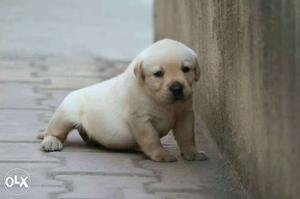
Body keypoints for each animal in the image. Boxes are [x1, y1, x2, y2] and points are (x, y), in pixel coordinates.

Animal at [41, 38, 207, 162]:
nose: (177, 88)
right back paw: (51, 142)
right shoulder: (140, 119)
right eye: (158, 73)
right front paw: (161, 155)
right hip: (65, 113)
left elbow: (187, 136)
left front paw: (193, 153)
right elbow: (151, 138)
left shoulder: (185, 114)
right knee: (54, 131)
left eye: (186, 69)